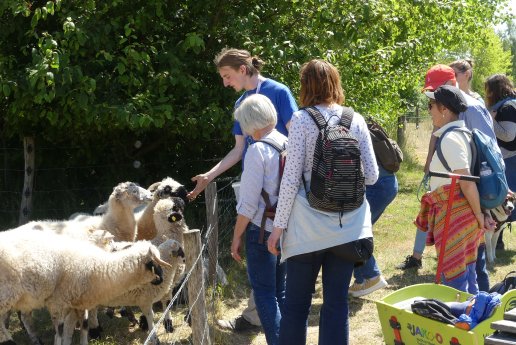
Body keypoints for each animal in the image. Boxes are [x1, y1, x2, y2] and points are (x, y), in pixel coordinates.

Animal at [0, 228, 171, 344]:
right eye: (152, 264)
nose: (161, 279)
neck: (98, 268)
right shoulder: (57, 303)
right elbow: (60, 331)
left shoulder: (78, 303)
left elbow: (82, 326)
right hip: (6, 296)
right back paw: (11, 341)